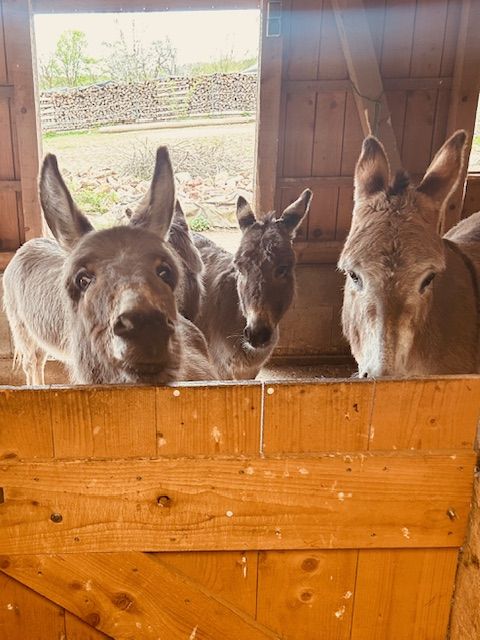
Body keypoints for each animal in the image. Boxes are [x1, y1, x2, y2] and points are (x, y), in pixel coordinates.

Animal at [3, 147, 216, 385]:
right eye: (82, 279)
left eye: (165, 272)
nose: (147, 327)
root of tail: (30, 243)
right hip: (22, 328)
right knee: (32, 363)